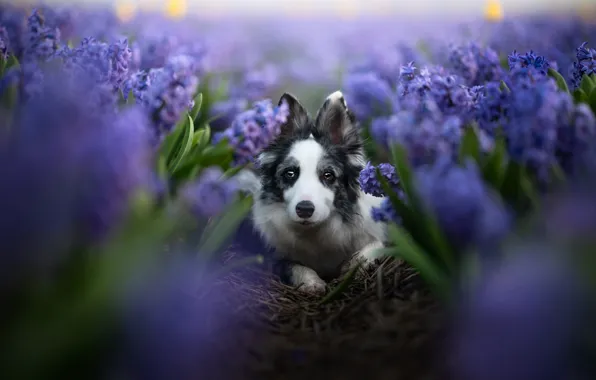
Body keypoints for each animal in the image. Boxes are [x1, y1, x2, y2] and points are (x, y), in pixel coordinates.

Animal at [236, 90, 386, 294]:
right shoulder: (271, 259)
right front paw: (311, 281)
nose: (305, 210)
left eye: (328, 175)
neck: (315, 231)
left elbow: (379, 245)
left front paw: (356, 263)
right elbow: (293, 266)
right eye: (290, 173)